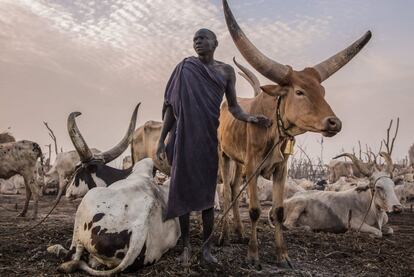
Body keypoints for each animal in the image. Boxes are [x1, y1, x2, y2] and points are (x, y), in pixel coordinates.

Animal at [47, 157, 180, 274]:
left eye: (78, 173)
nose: (67, 192)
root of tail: (141, 225)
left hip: (84, 208)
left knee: (74, 254)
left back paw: (56, 249)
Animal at [220, 0, 372, 268]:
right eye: (299, 91)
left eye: (322, 91)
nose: (334, 123)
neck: (274, 128)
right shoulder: (253, 166)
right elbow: (255, 210)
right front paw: (253, 255)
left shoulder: (281, 168)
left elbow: (278, 211)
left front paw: (283, 255)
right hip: (223, 155)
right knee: (226, 192)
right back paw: (224, 235)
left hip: (238, 162)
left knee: (233, 187)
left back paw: (238, 232)